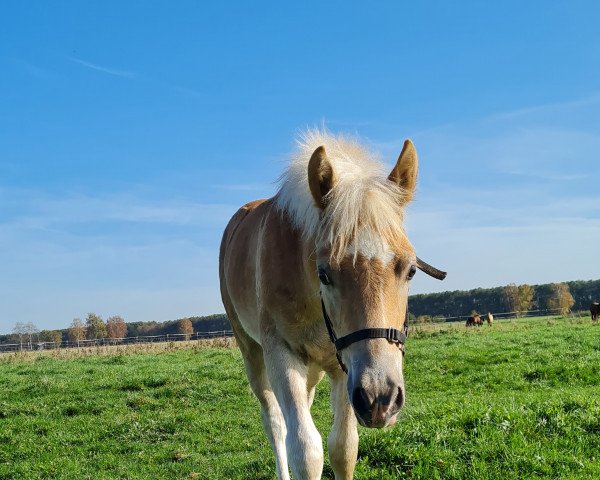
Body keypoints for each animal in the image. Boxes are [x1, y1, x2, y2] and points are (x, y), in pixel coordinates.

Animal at [220, 129, 446, 478]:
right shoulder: (280, 353)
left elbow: (343, 448)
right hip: (251, 350)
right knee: (275, 423)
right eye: (324, 273)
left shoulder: (344, 368)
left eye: (410, 270)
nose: (380, 399)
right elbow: (305, 450)